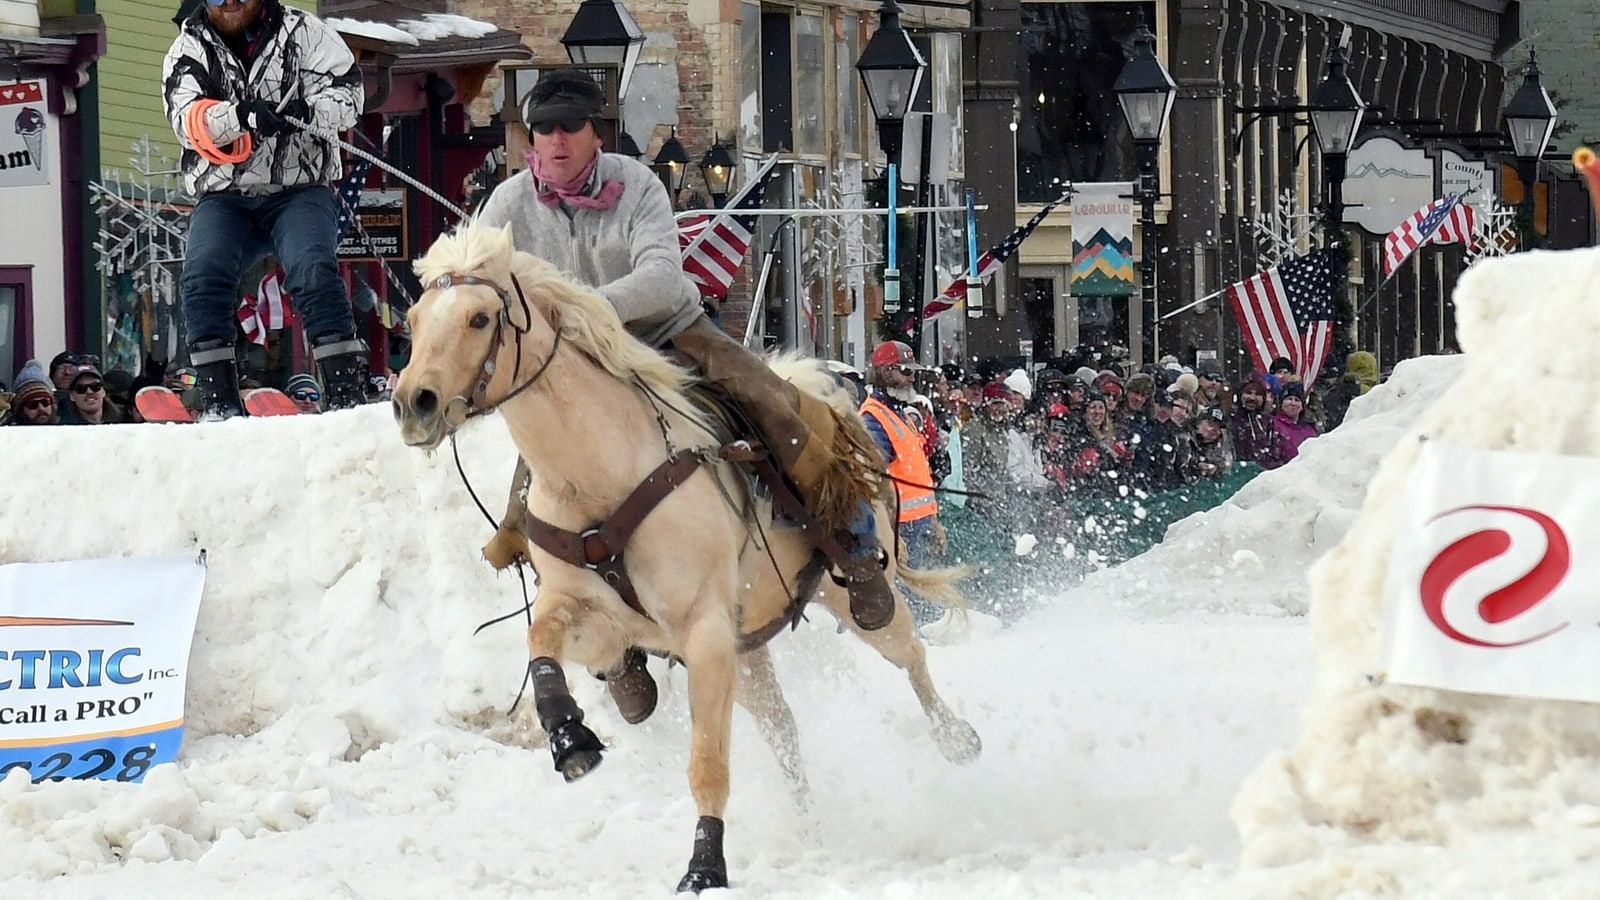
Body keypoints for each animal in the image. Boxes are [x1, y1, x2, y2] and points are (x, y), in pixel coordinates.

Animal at [393, 222, 979, 890]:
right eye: (413, 318)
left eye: (480, 317)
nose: (414, 402)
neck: (597, 470)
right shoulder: (594, 615)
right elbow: (541, 640)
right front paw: (571, 736)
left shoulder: (704, 631)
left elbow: (707, 764)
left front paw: (704, 867)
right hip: (747, 649)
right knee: (783, 728)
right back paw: (810, 831)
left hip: (842, 605)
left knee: (908, 654)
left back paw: (955, 735)